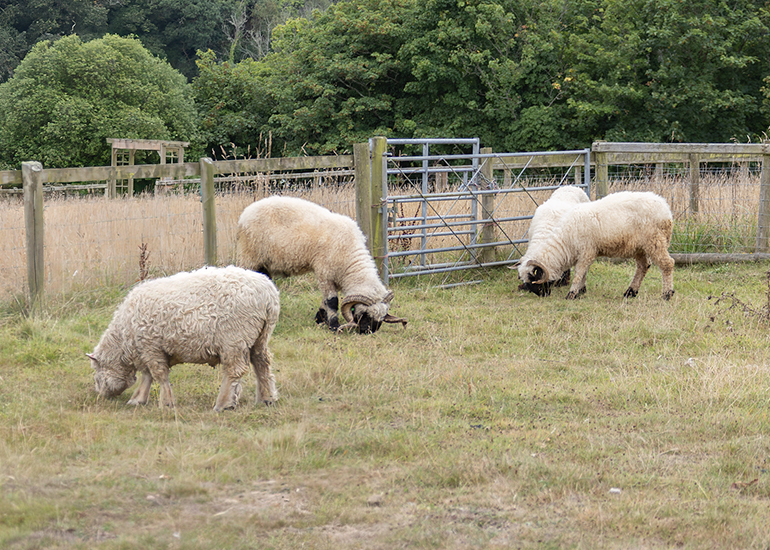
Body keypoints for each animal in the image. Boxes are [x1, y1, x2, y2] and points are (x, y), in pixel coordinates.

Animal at [87, 266, 280, 411]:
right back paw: (267, 398)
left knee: (234, 370)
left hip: (234, 337)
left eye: (96, 370)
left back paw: (223, 404)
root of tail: (269, 294)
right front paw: (138, 399)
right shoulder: (148, 350)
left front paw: (166, 403)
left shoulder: (151, 346)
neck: (124, 337)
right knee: (262, 363)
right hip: (260, 337)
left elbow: (159, 375)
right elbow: (147, 376)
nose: (100, 395)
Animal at [236, 195, 407, 334]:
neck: (350, 258)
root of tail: (246, 213)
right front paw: (334, 326)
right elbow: (332, 301)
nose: (367, 332)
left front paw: (320, 319)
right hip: (249, 256)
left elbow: (325, 301)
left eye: (382, 317)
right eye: (364, 314)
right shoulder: (325, 273)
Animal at [517, 191, 675, 300]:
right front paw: (580, 291)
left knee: (667, 264)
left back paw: (667, 294)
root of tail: (665, 206)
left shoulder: (586, 252)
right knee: (643, 266)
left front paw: (571, 294)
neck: (566, 242)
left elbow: (579, 273)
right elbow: (583, 273)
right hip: (639, 247)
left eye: (533, 279)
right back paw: (630, 292)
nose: (541, 295)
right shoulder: (585, 254)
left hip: (655, 240)